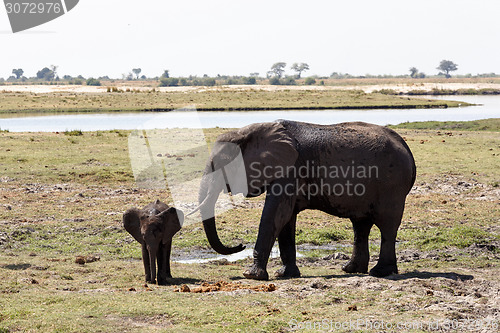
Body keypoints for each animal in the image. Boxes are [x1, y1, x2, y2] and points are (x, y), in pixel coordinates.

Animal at [194, 120, 414, 278]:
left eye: (220, 164)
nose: (240, 245)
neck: (254, 131)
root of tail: (407, 149)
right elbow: (285, 220)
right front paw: (285, 274)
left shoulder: (289, 170)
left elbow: (275, 215)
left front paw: (251, 275)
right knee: (360, 226)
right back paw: (351, 269)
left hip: (392, 186)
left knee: (386, 226)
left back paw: (380, 272)